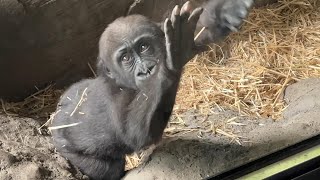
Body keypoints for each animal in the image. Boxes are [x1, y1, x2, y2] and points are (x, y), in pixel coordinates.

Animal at [50, 2, 202, 180]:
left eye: (144, 47)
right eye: (126, 58)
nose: (145, 70)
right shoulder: (115, 99)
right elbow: (135, 133)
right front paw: (173, 60)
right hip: (64, 146)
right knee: (107, 169)